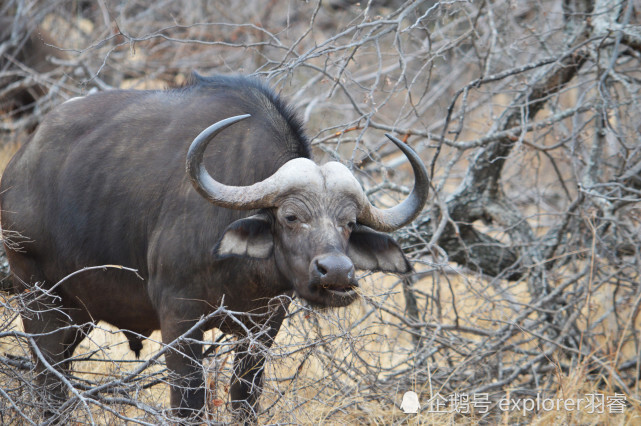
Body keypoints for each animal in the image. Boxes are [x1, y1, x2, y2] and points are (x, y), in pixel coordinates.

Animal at [1, 74, 430, 422]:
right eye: (291, 216)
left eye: (349, 223)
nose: (337, 272)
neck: (240, 269)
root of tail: (20, 167)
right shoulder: (179, 320)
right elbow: (188, 404)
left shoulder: (263, 326)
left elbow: (245, 398)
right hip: (38, 297)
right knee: (48, 381)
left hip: (79, 313)